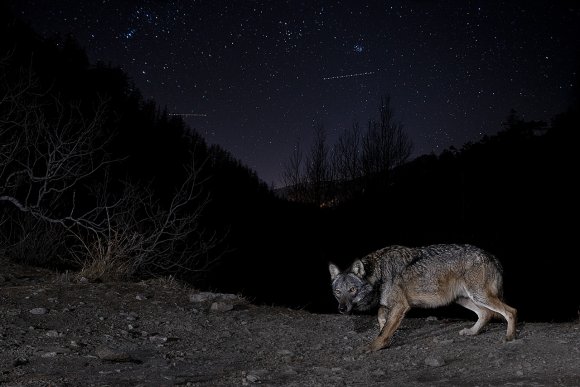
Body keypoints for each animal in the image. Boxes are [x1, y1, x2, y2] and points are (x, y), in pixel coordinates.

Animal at [328, 246, 520, 352]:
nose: (342, 309)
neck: (379, 272)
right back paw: (472, 332)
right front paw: (385, 339)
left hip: (479, 296)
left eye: (352, 290)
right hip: (463, 299)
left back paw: (509, 337)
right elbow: (382, 319)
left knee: (511, 311)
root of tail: (492, 256)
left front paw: (373, 347)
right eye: (338, 292)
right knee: (486, 314)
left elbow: (383, 330)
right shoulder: (388, 305)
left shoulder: (400, 306)